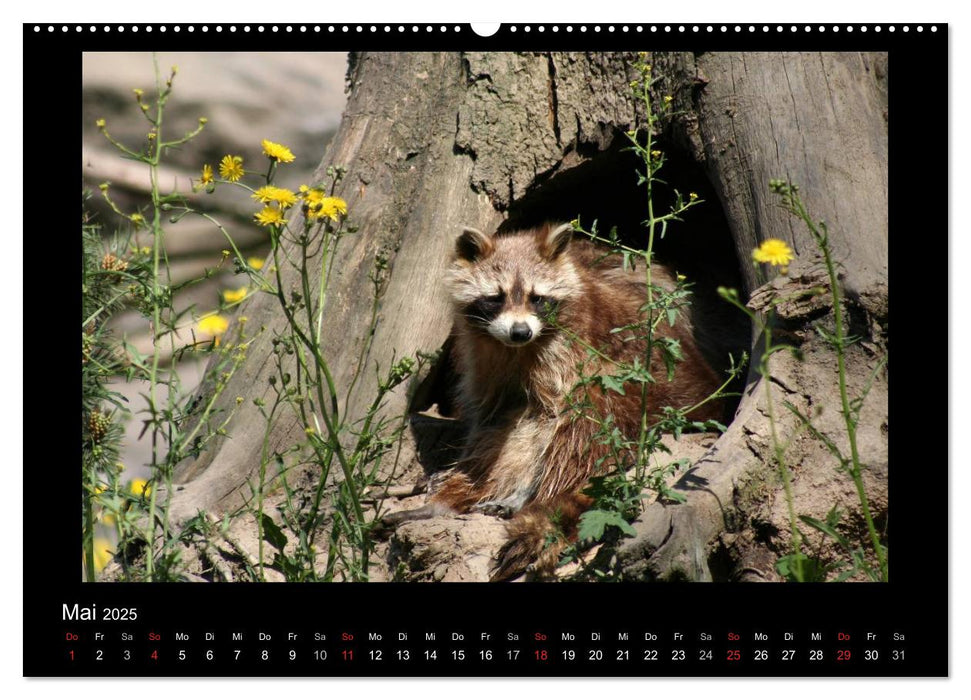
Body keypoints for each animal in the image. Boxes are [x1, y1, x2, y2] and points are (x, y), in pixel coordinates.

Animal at [388, 220, 728, 580]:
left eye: (537, 298)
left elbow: (557, 421)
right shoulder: (481, 355)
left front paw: (523, 489)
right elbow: (489, 415)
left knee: (584, 423)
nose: (520, 332)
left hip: (644, 391)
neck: (516, 350)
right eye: (495, 298)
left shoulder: (572, 350)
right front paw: (469, 472)